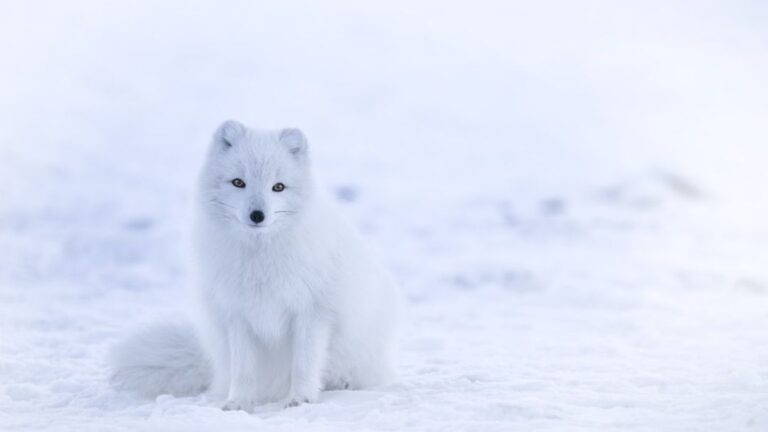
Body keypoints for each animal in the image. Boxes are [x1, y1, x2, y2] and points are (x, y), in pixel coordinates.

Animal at [110, 120, 403, 411]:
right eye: (239, 182)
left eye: (278, 187)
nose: (257, 215)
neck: (260, 258)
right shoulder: (238, 314)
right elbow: (244, 370)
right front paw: (238, 402)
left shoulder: (312, 312)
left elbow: (304, 364)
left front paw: (300, 399)